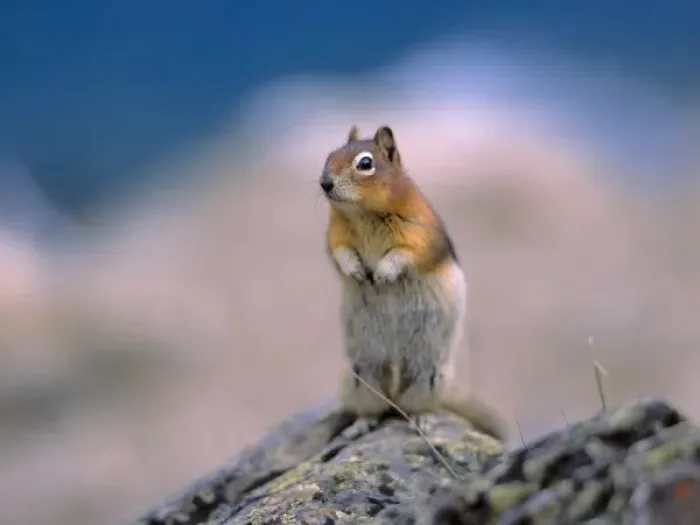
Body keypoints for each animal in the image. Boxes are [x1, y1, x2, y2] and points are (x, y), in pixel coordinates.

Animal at [319, 124, 506, 441]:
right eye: (329, 155)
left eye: (365, 163)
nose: (324, 183)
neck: (364, 214)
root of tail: (395, 392)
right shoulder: (336, 235)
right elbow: (340, 252)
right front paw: (356, 271)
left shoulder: (419, 233)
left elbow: (403, 255)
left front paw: (382, 274)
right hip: (359, 375)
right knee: (375, 409)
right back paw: (360, 425)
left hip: (428, 375)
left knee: (413, 408)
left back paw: (422, 421)